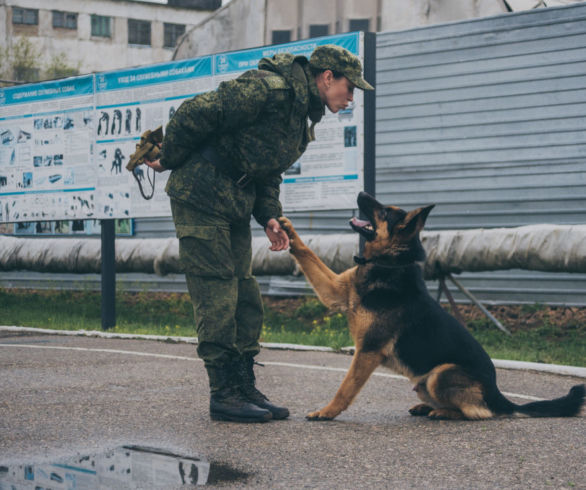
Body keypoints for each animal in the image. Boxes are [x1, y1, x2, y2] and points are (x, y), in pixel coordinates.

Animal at [278, 192, 580, 422]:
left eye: (384, 212)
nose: (362, 192)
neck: (387, 264)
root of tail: (500, 397)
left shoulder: (368, 351)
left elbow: (345, 388)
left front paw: (326, 412)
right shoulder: (333, 292)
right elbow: (307, 253)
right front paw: (288, 230)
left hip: (440, 374)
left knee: (479, 412)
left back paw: (444, 412)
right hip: (423, 383)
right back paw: (428, 407)